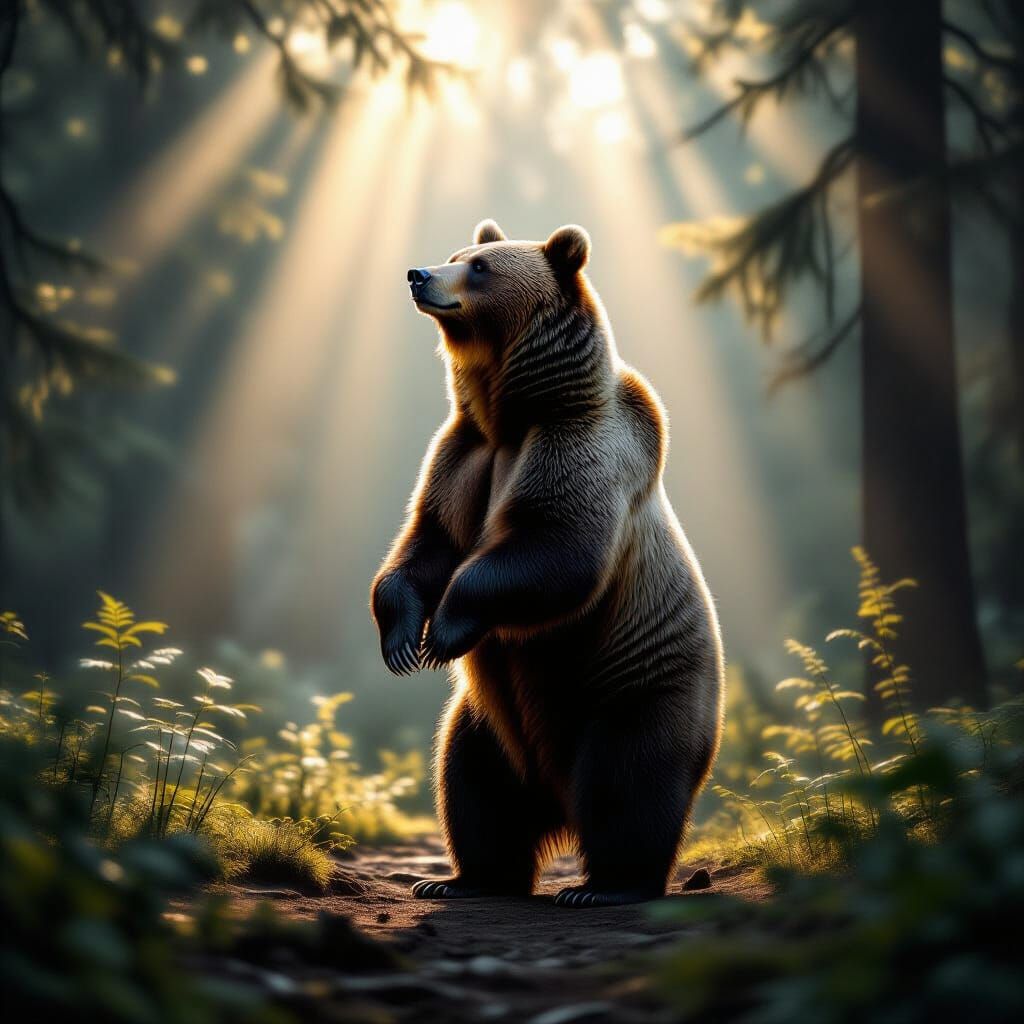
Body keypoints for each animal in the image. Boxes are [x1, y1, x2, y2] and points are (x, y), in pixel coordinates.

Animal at [371, 220, 724, 907]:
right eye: (457, 254)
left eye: (481, 267)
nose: (418, 275)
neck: (513, 413)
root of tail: (554, 800)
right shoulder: (462, 455)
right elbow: (427, 542)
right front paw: (401, 640)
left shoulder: (580, 444)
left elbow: (556, 547)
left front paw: (443, 630)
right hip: (485, 722)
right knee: (471, 784)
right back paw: (460, 879)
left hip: (635, 686)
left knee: (626, 783)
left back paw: (605, 886)